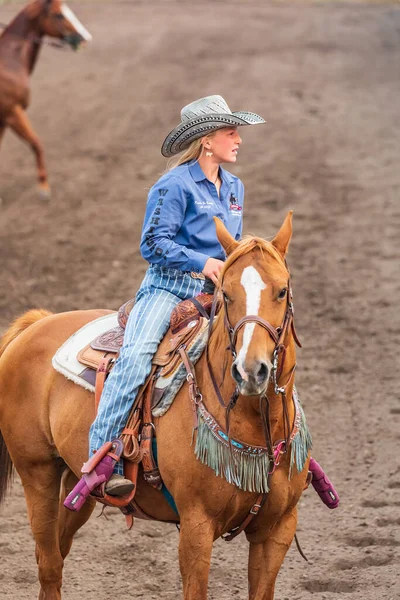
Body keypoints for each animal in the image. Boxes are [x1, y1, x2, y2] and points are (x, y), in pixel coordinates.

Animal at [0, 0, 91, 197]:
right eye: (59, 15)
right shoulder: (13, 112)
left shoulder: (4, 119)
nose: (84, 38)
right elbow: (36, 143)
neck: (9, 61)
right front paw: (43, 186)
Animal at [0, 214, 310, 600]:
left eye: (282, 291)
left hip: (77, 483)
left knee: (56, 551)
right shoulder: (196, 527)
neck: (256, 425)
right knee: (49, 564)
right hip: (37, 471)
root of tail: (36, 323)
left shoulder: (278, 530)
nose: (251, 370)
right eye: (226, 294)